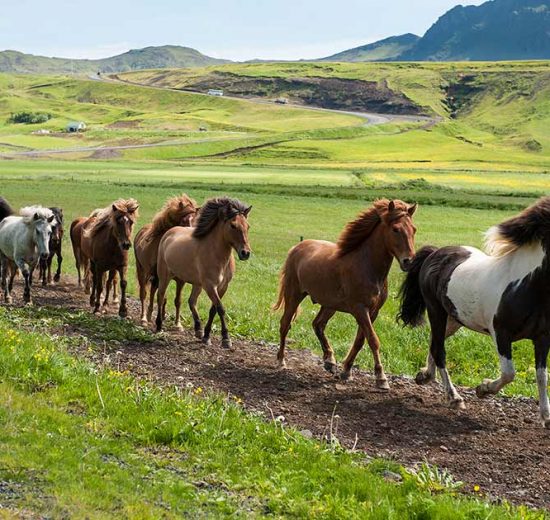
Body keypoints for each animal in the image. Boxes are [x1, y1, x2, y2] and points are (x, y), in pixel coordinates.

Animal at [134, 194, 201, 324]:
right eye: (184, 220)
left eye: (196, 220)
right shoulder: (156, 275)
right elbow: (155, 293)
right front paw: (150, 315)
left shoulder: (180, 280)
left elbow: (177, 300)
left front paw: (178, 323)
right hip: (141, 269)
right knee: (144, 293)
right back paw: (143, 317)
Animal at [156, 197, 253, 348]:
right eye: (233, 225)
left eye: (247, 226)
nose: (245, 253)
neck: (217, 255)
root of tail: (169, 232)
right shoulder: (210, 285)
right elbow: (220, 308)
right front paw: (226, 339)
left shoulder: (222, 287)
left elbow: (213, 309)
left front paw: (206, 336)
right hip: (164, 276)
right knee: (161, 297)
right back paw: (159, 326)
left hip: (197, 284)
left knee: (191, 301)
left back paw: (198, 330)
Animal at [276, 201, 418, 388]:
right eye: (395, 229)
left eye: (414, 229)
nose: (409, 261)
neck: (367, 265)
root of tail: (296, 248)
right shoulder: (360, 309)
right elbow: (373, 340)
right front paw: (381, 378)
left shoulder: (373, 312)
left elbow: (360, 341)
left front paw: (346, 371)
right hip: (294, 295)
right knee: (285, 324)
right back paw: (281, 361)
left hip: (329, 305)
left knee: (318, 324)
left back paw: (330, 361)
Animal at [402, 197, 550, 428]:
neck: (525, 285)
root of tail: (434, 253)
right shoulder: (501, 334)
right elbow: (509, 373)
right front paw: (483, 389)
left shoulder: (542, 338)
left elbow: (542, 376)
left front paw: (546, 417)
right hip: (436, 311)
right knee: (439, 350)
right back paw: (454, 398)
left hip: (455, 319)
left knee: (434, 342)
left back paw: (425, 376)